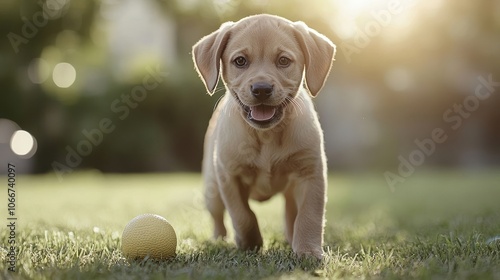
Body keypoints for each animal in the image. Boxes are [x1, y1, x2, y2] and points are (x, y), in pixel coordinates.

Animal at [191, 13, 336, 258]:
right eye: (240, 61)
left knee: (290, 213)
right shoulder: (228, 175)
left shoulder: (311, 174)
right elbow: (243, 215)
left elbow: (309, 216)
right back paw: (219, 238)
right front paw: (250, 243)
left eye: (284, 61)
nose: (261, 89)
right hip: (212, 189)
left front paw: (308, 250)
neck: (267, 135)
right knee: (218, 216)